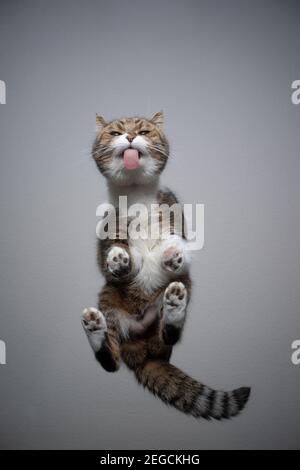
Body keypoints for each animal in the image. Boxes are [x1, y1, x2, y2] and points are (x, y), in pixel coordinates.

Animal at [80, 112, 251, 420]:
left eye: (144, 131)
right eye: (115, 133)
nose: (131, 136)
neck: (136, 196)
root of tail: (145, 354)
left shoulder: (177, 219)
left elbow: (177, 243)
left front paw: (171, 252)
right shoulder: (107, 231)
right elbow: (115, 256)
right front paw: (118, 257)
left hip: (184, 286)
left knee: (170, 334)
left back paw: (173, 307)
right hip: (108, 297)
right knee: (110, 361)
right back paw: (96, 327)